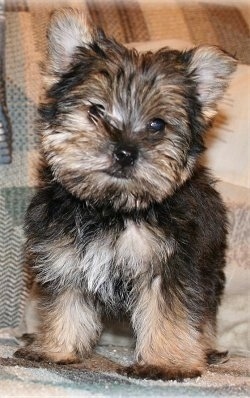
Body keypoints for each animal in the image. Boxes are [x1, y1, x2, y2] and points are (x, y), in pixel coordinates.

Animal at [14, 7, 237, 380]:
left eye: (158, 125)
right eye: (96, 111)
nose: (125, 152)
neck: (111, 207)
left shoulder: (173, 262)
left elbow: (170, 310)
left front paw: (167, 361)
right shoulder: (64, 255)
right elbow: (65, 301)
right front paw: (56, 348)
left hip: (210, 265)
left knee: (204, 310)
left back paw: (203, 349)